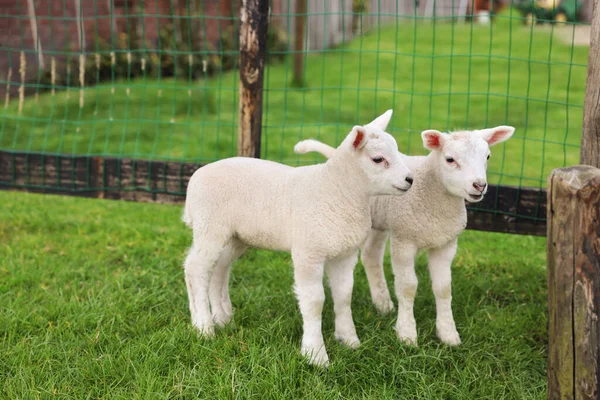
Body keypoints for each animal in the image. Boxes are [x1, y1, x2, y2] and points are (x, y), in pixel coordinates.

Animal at [182, 109, 412, 366]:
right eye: (378, 159)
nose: (409, 180)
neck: (337, 190)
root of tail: (196, 176)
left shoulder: (344, 254)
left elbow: (344, 296)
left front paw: (349, 340)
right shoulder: (308, 253)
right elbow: (314, 302)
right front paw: (316, 354)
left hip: (234, 236)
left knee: (219, 269)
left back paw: (222, 317)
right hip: (209, 226)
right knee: (196, 269)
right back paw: (203, 327)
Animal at [292, 126, 512, 346]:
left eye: (487, 156)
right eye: (450, 159)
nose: (479, 186)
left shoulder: (446, 244)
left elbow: (443, 288)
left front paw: (448, 334)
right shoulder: (404, 239)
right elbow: (408, 287)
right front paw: (407, 334)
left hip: (380, 222)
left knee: (370, 256)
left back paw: (383, 304)